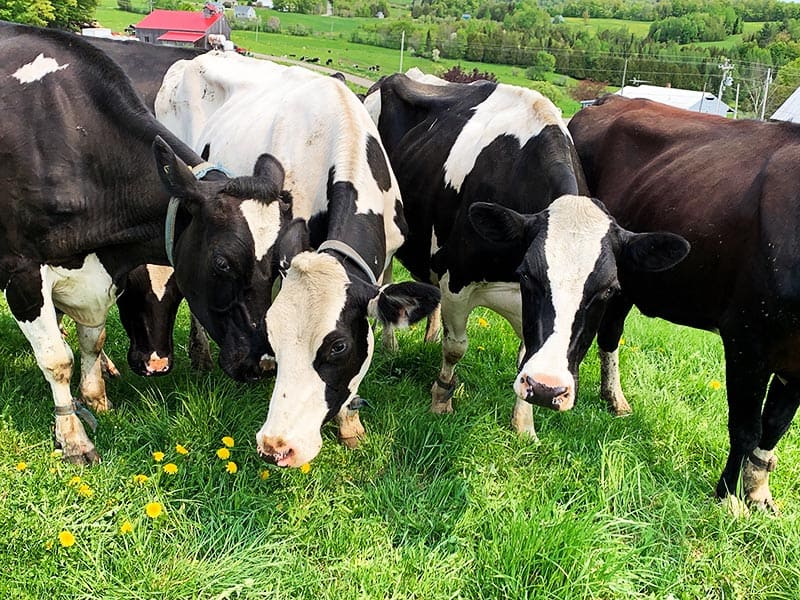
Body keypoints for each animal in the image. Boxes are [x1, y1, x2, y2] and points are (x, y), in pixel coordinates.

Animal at [0, 22, 292, 464]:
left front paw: (97, 398)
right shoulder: (22, 271)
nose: (264, 364)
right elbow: (56, 359)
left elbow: (93, 339)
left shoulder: (97, 273)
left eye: (277, 265)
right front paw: (72, 437)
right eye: (222, 263)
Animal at [150, 51, 438, 466]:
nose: (276, 446)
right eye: (274, 335)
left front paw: (350, 426)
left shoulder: (383, 264)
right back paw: (201, 355)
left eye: (338, 346)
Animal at [362, 72, 688, 438]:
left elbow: (523, 356)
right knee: (388, 280)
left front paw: (524, 424)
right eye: (529, 274)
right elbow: (456, 347)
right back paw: (391, 343)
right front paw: (442, 399)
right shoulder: (457, 280)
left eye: (608, 291)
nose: (548, 388)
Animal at [564, 95, 800, 510]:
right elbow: (745, 427)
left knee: (610, 332)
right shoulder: (746, 338)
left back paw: (614, 399)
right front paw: (728, 499)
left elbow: (774, 427)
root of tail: (612, 98)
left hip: (629, 278)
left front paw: (759, 493)